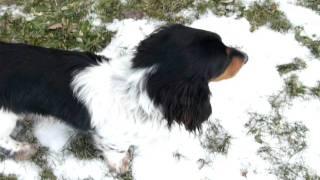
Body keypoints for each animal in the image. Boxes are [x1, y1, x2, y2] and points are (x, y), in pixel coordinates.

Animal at [0, 24, 248, 180]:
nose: (246, 57)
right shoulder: (112, 137)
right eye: (224, 59)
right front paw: (121, 166)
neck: (137, 85)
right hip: (5, 118)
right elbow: (116, 152)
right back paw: (23, 149)